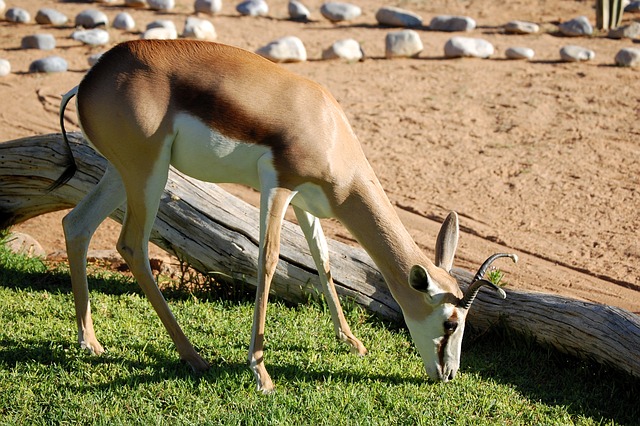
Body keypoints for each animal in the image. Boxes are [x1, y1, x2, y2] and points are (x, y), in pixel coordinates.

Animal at [54, 39, 516, 393]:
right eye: (451, 323)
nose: (449, 374)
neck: (328, 128)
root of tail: (90, 78)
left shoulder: (306, 203)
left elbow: (324, 261)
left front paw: (351, 342)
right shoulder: (278, 185)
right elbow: (269, 260)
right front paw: (261, 372)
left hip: (123, 172)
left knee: (76, 224)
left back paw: (89, 342)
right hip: (148, 172)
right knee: (132, 244)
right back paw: (193, 356)